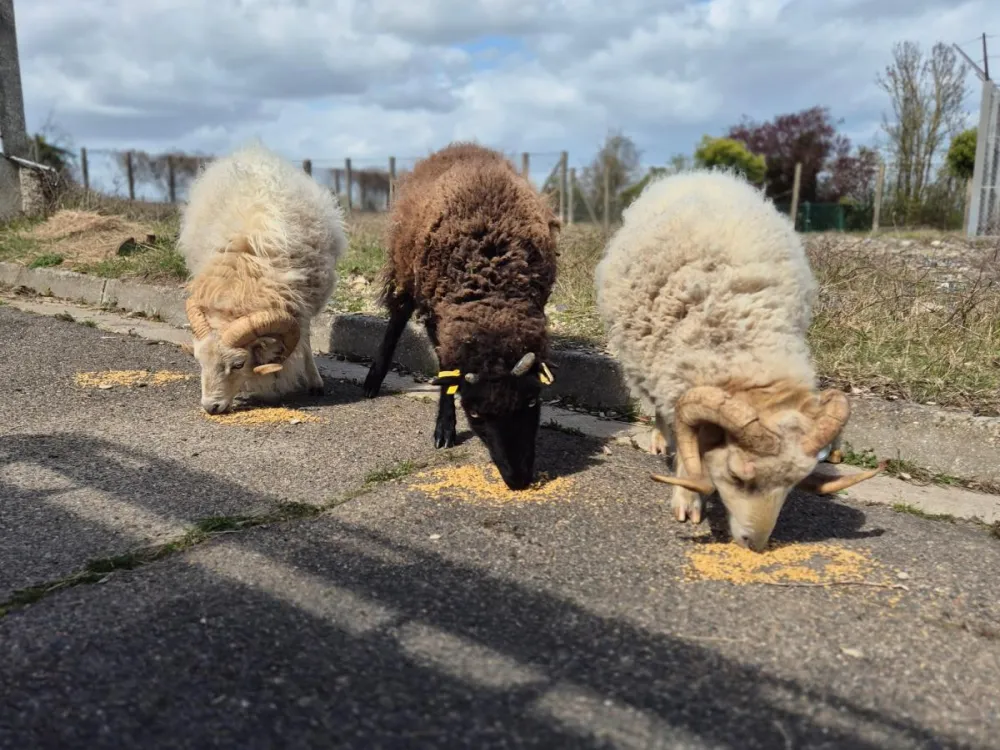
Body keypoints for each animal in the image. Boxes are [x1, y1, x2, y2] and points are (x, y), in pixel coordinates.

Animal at [179, 142, 348, 414]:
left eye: (238, 364)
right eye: (198, 360)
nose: (210, 407)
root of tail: (251, 151)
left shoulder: (302, 304)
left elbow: (306, 340)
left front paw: (314, 380)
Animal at [362, 142, 560, 490]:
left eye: (532, 402)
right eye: (475, 414)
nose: (518, 481)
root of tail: (461, 145)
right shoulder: (437, 313)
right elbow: (447, 372)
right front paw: (444, 429)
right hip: (406, 270)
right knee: (397, 318)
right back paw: (373, 380)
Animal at [594, 168, 884, 551]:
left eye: (793, 484)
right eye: (736, 475)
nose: (755, 544)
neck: (749, 356)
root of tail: (701, 174)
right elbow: (687, 443)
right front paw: (687, 499)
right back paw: (659, 438)